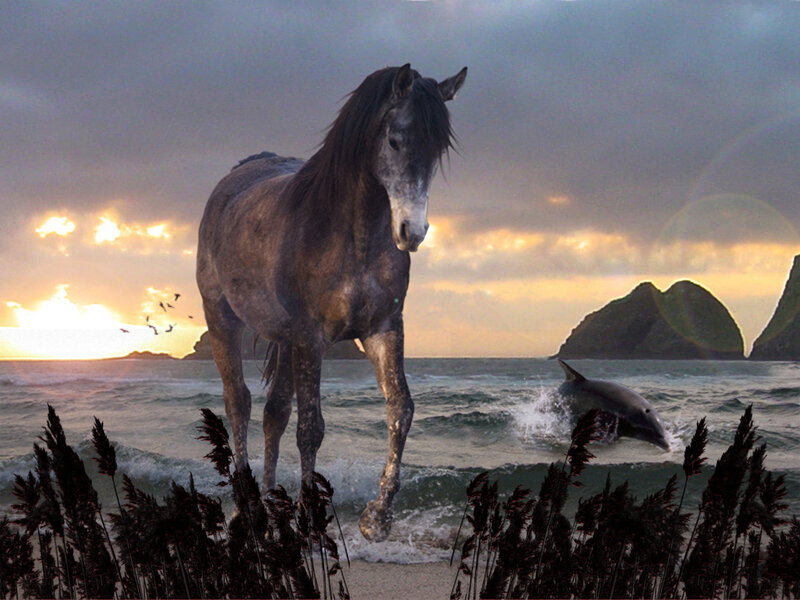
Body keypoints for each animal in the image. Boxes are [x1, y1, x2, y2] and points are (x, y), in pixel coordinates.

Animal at [196, 64, 466, 541]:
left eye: (437, 150)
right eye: (395, 140)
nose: (412, 232)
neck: (352, 236)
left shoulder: (383, 329)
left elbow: (401, 409)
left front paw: (378, 517)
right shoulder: (311, 338)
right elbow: (311, 429)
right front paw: (310, 515)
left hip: (284, 340)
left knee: (274, 413)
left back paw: (270, 504)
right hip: (222, 319)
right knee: (238, 402)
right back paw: (247, 509)